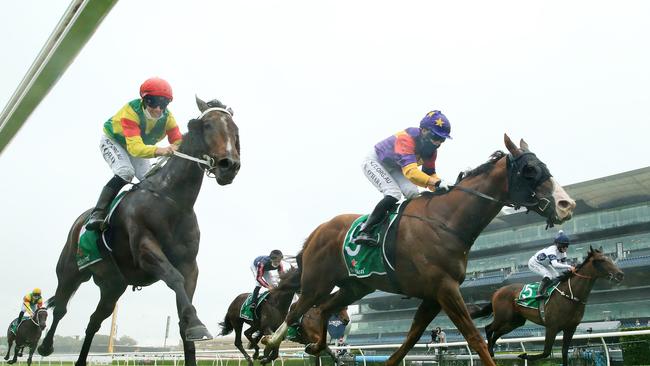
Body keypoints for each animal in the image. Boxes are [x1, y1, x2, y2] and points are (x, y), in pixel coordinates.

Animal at [38, 97, 240, 366]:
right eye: (207, 125)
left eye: (235, 130)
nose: (230, 165)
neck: (172, 200)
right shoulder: (144, 248)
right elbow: (174, 277)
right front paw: (198, 325)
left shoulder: (190, 264)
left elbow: (183, 313)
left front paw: (191, 326)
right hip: (71, 271)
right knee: (61, 307)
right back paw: (45, 346)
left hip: (113, 285)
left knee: (94, 321)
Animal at [260, 135, 576, 366]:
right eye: (530, 170)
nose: (567, 204)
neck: (446, 221)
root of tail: (317, 231)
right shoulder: (445, 289)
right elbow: (474, 337)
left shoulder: (433, 295)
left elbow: (409, 340)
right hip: (317, 281)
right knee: (297, 310)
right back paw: (270, 345)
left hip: (355, 286)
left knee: (323, 309)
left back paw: (317, 346)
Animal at [470, 247, 624, 364]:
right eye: (601, 260)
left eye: (610, 258)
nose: (620, 274)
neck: (571, 295)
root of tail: (497, 291)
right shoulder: (552, 327)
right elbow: (546, 352)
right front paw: (524, 355)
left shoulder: (570, 328)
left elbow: (564, 352)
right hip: (503, 317)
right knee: (489, 328)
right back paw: (489, 351)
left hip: (515, 322)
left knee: (496, 333)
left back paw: (491, 353)